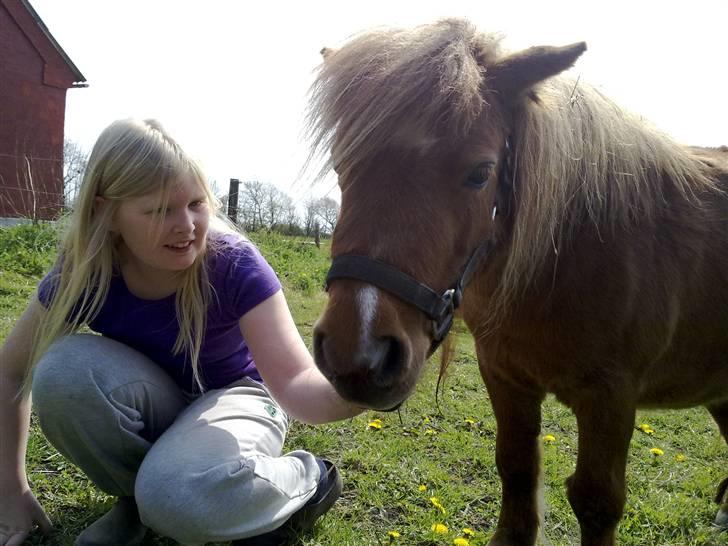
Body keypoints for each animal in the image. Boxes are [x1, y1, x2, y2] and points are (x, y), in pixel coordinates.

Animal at [308, 17, 728, 544]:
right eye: (342, 166)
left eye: (481, 172)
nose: (357, 355)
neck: (565, 255)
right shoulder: (505, 376)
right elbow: (516, 470)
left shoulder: (611, 398)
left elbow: (597, 501)